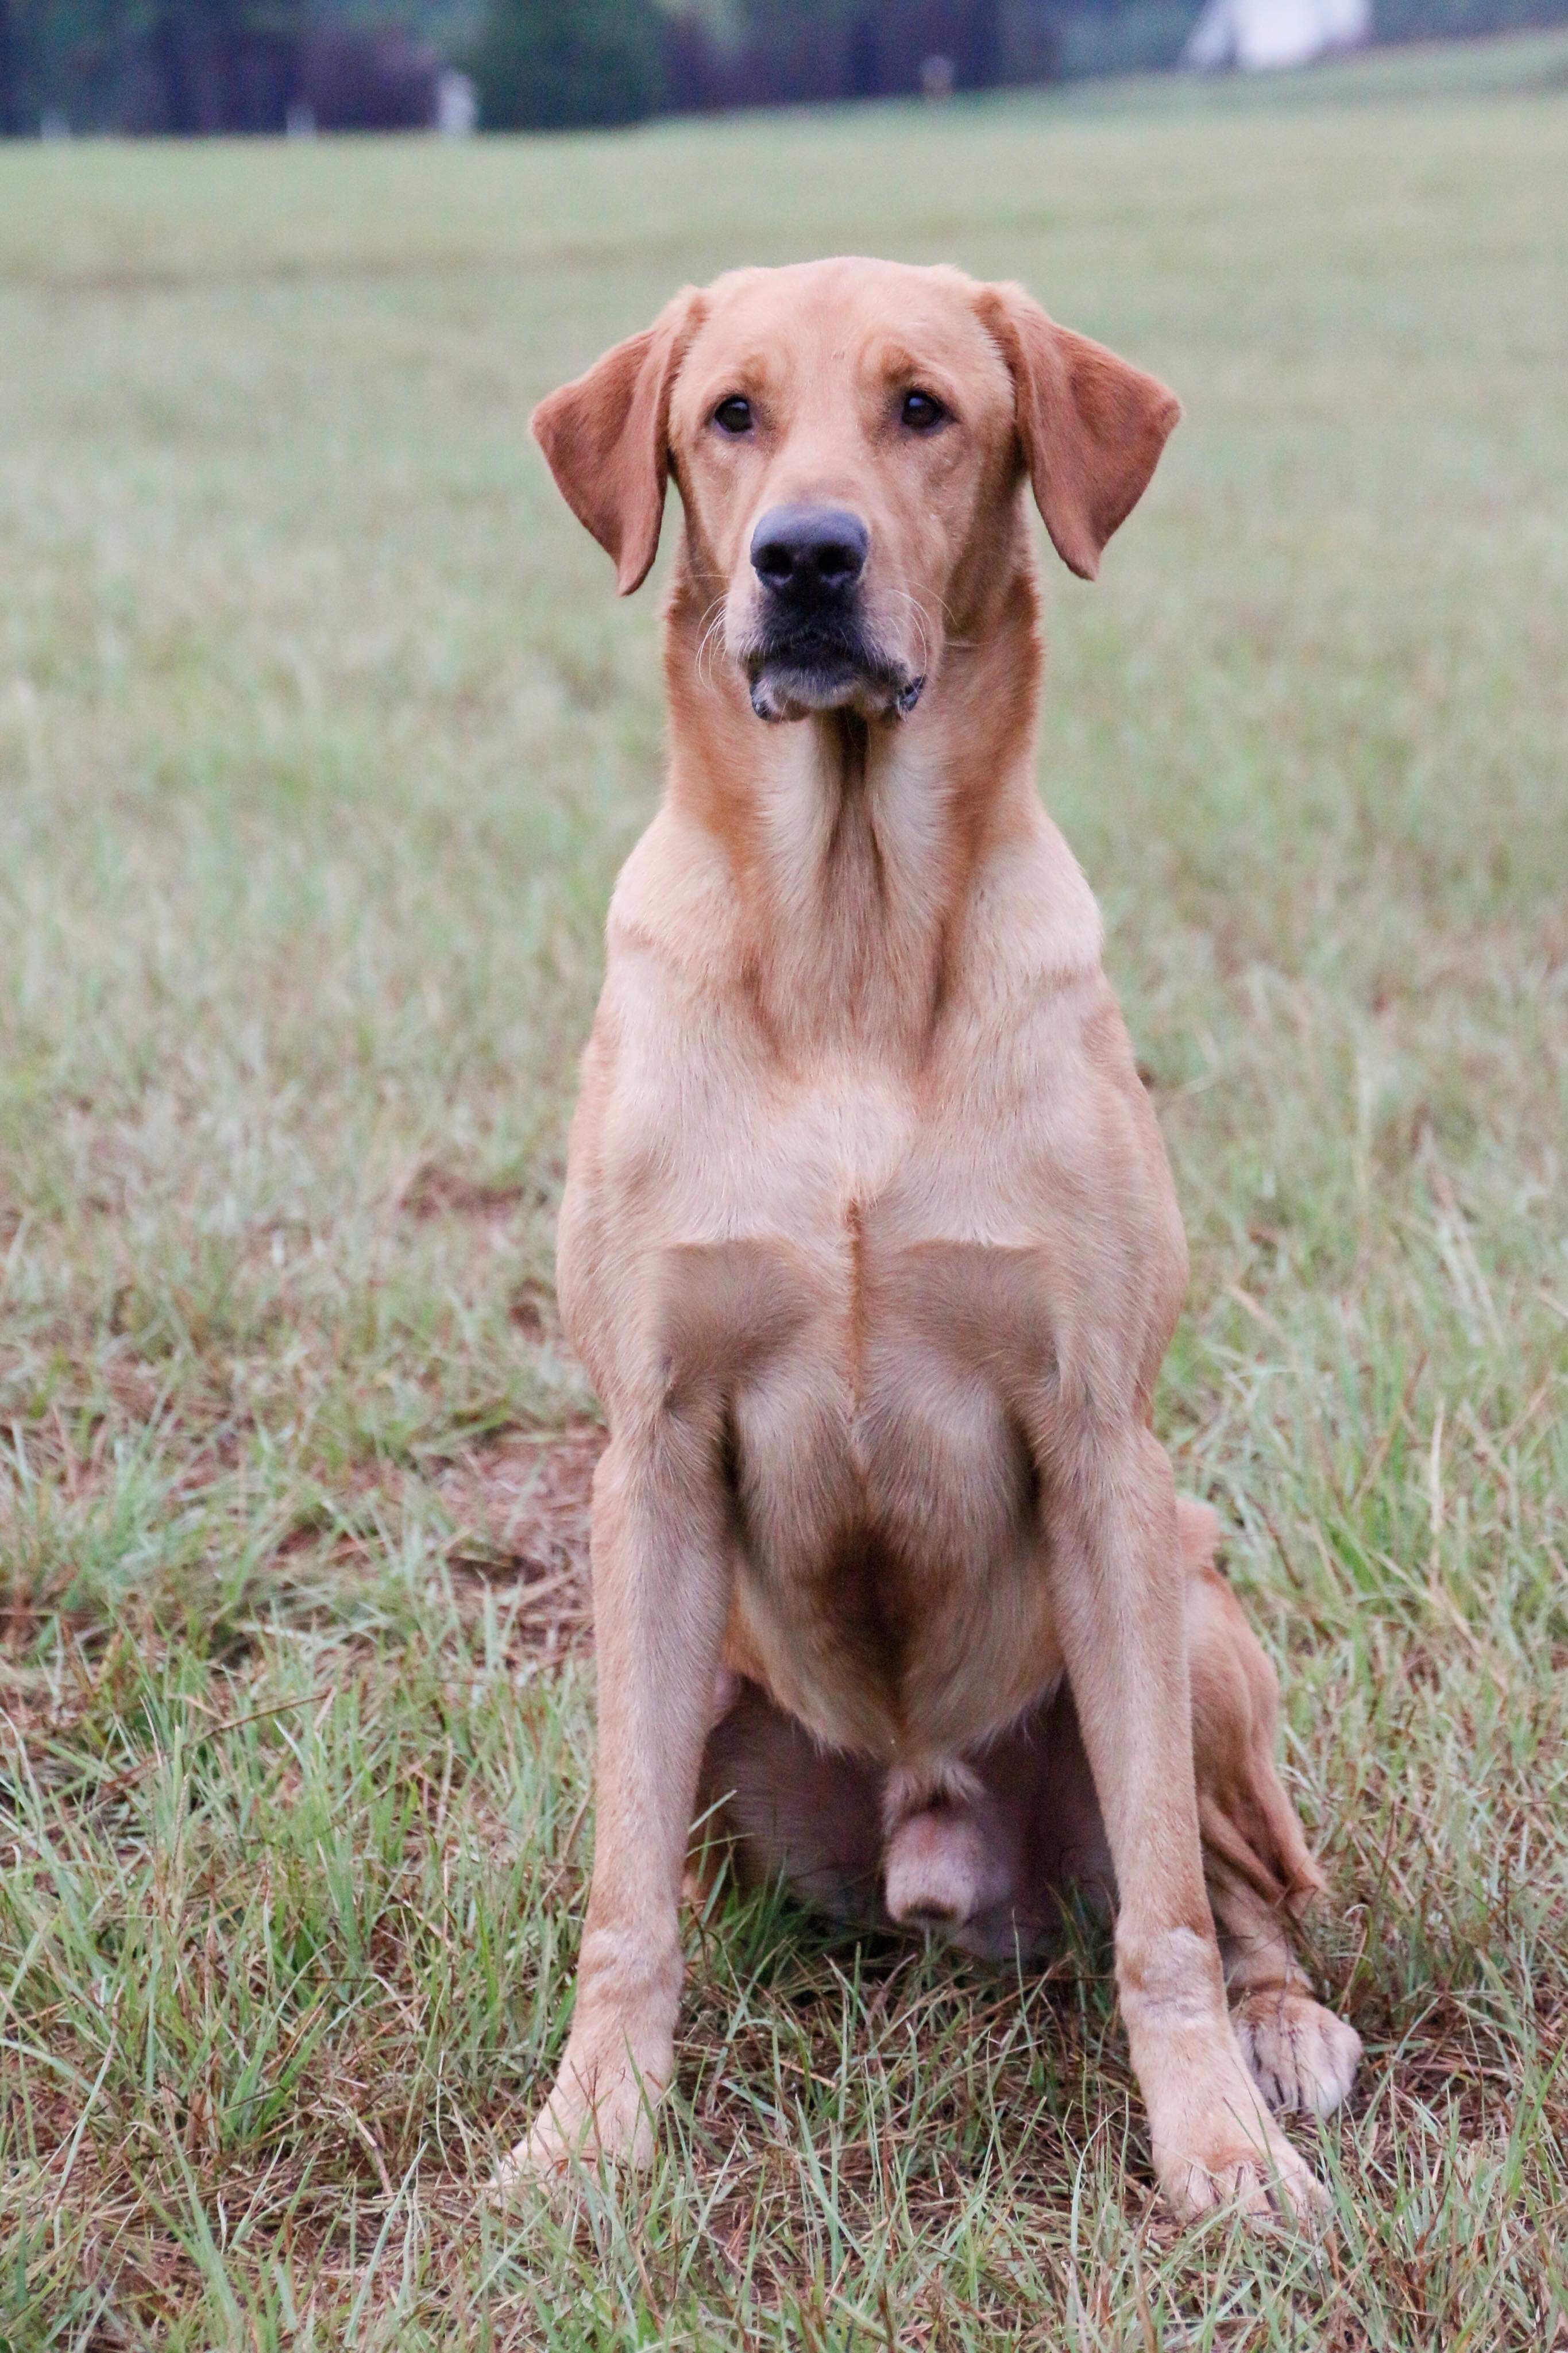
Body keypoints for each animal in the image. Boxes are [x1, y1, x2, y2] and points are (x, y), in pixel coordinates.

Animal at [503, 262, 1363, 2221]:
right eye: (728, 416)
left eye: (924, 409)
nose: (805, 560)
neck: (849, 942)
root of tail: (930, 1844)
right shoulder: (649, 1456)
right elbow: (619, 1904)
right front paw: (590, 2133)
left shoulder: (1104, 1448)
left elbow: (1171, 1919)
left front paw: (1215, 2145)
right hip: (715, 1699)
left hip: (1192, 1612)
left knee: (1247, 1890)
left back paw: (1283, 2035)